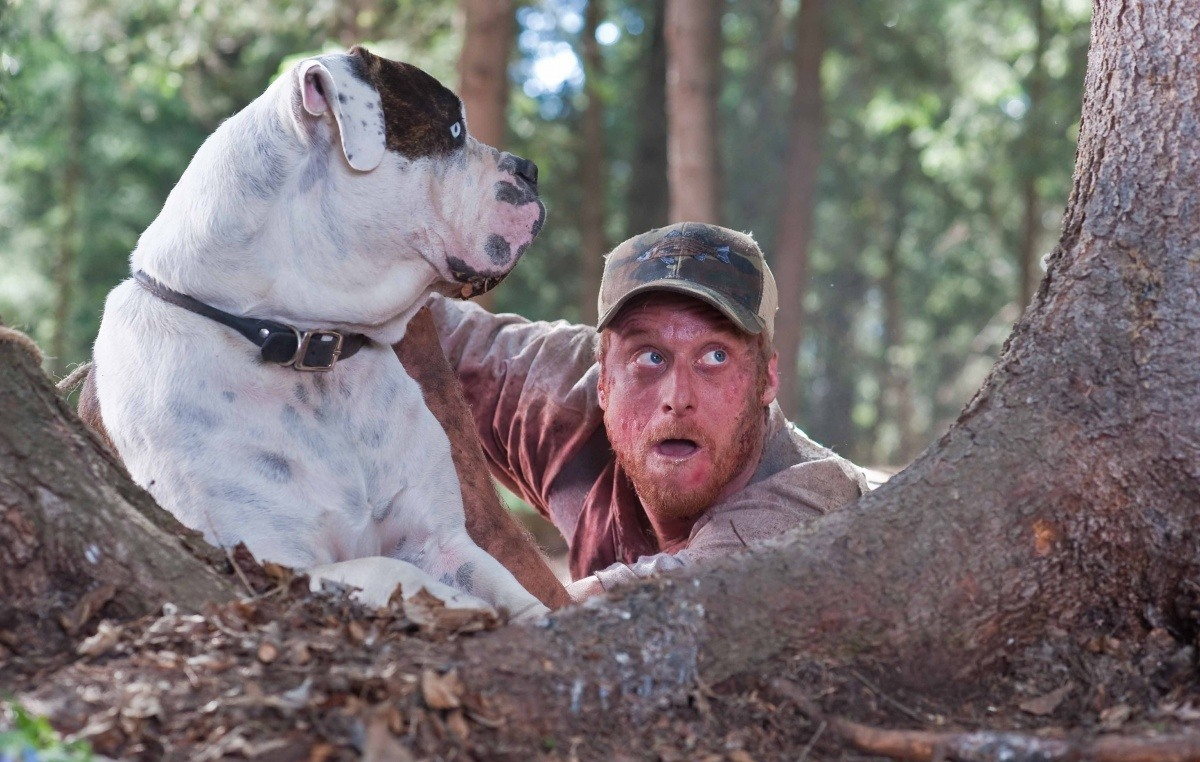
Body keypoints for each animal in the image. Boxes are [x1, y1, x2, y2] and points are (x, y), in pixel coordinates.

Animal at [92, 46, 549, 619]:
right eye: (453, 129)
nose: (530, 168)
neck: (310, 348)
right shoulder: (270, 565)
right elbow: (391, 570)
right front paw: (462, 608)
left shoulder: (440, 541)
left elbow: (515, 591)